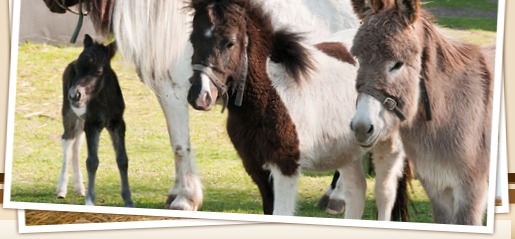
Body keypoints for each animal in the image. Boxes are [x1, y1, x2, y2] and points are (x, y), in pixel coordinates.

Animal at [187, 0, 410, 218]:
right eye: (192, 40)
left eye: (230, 42)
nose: (200, 97)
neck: (273, 92)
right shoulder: (257, 168)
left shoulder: (286, 166)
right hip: (349, 151)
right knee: (356, 191)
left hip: (388, 147)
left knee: (384, 194)